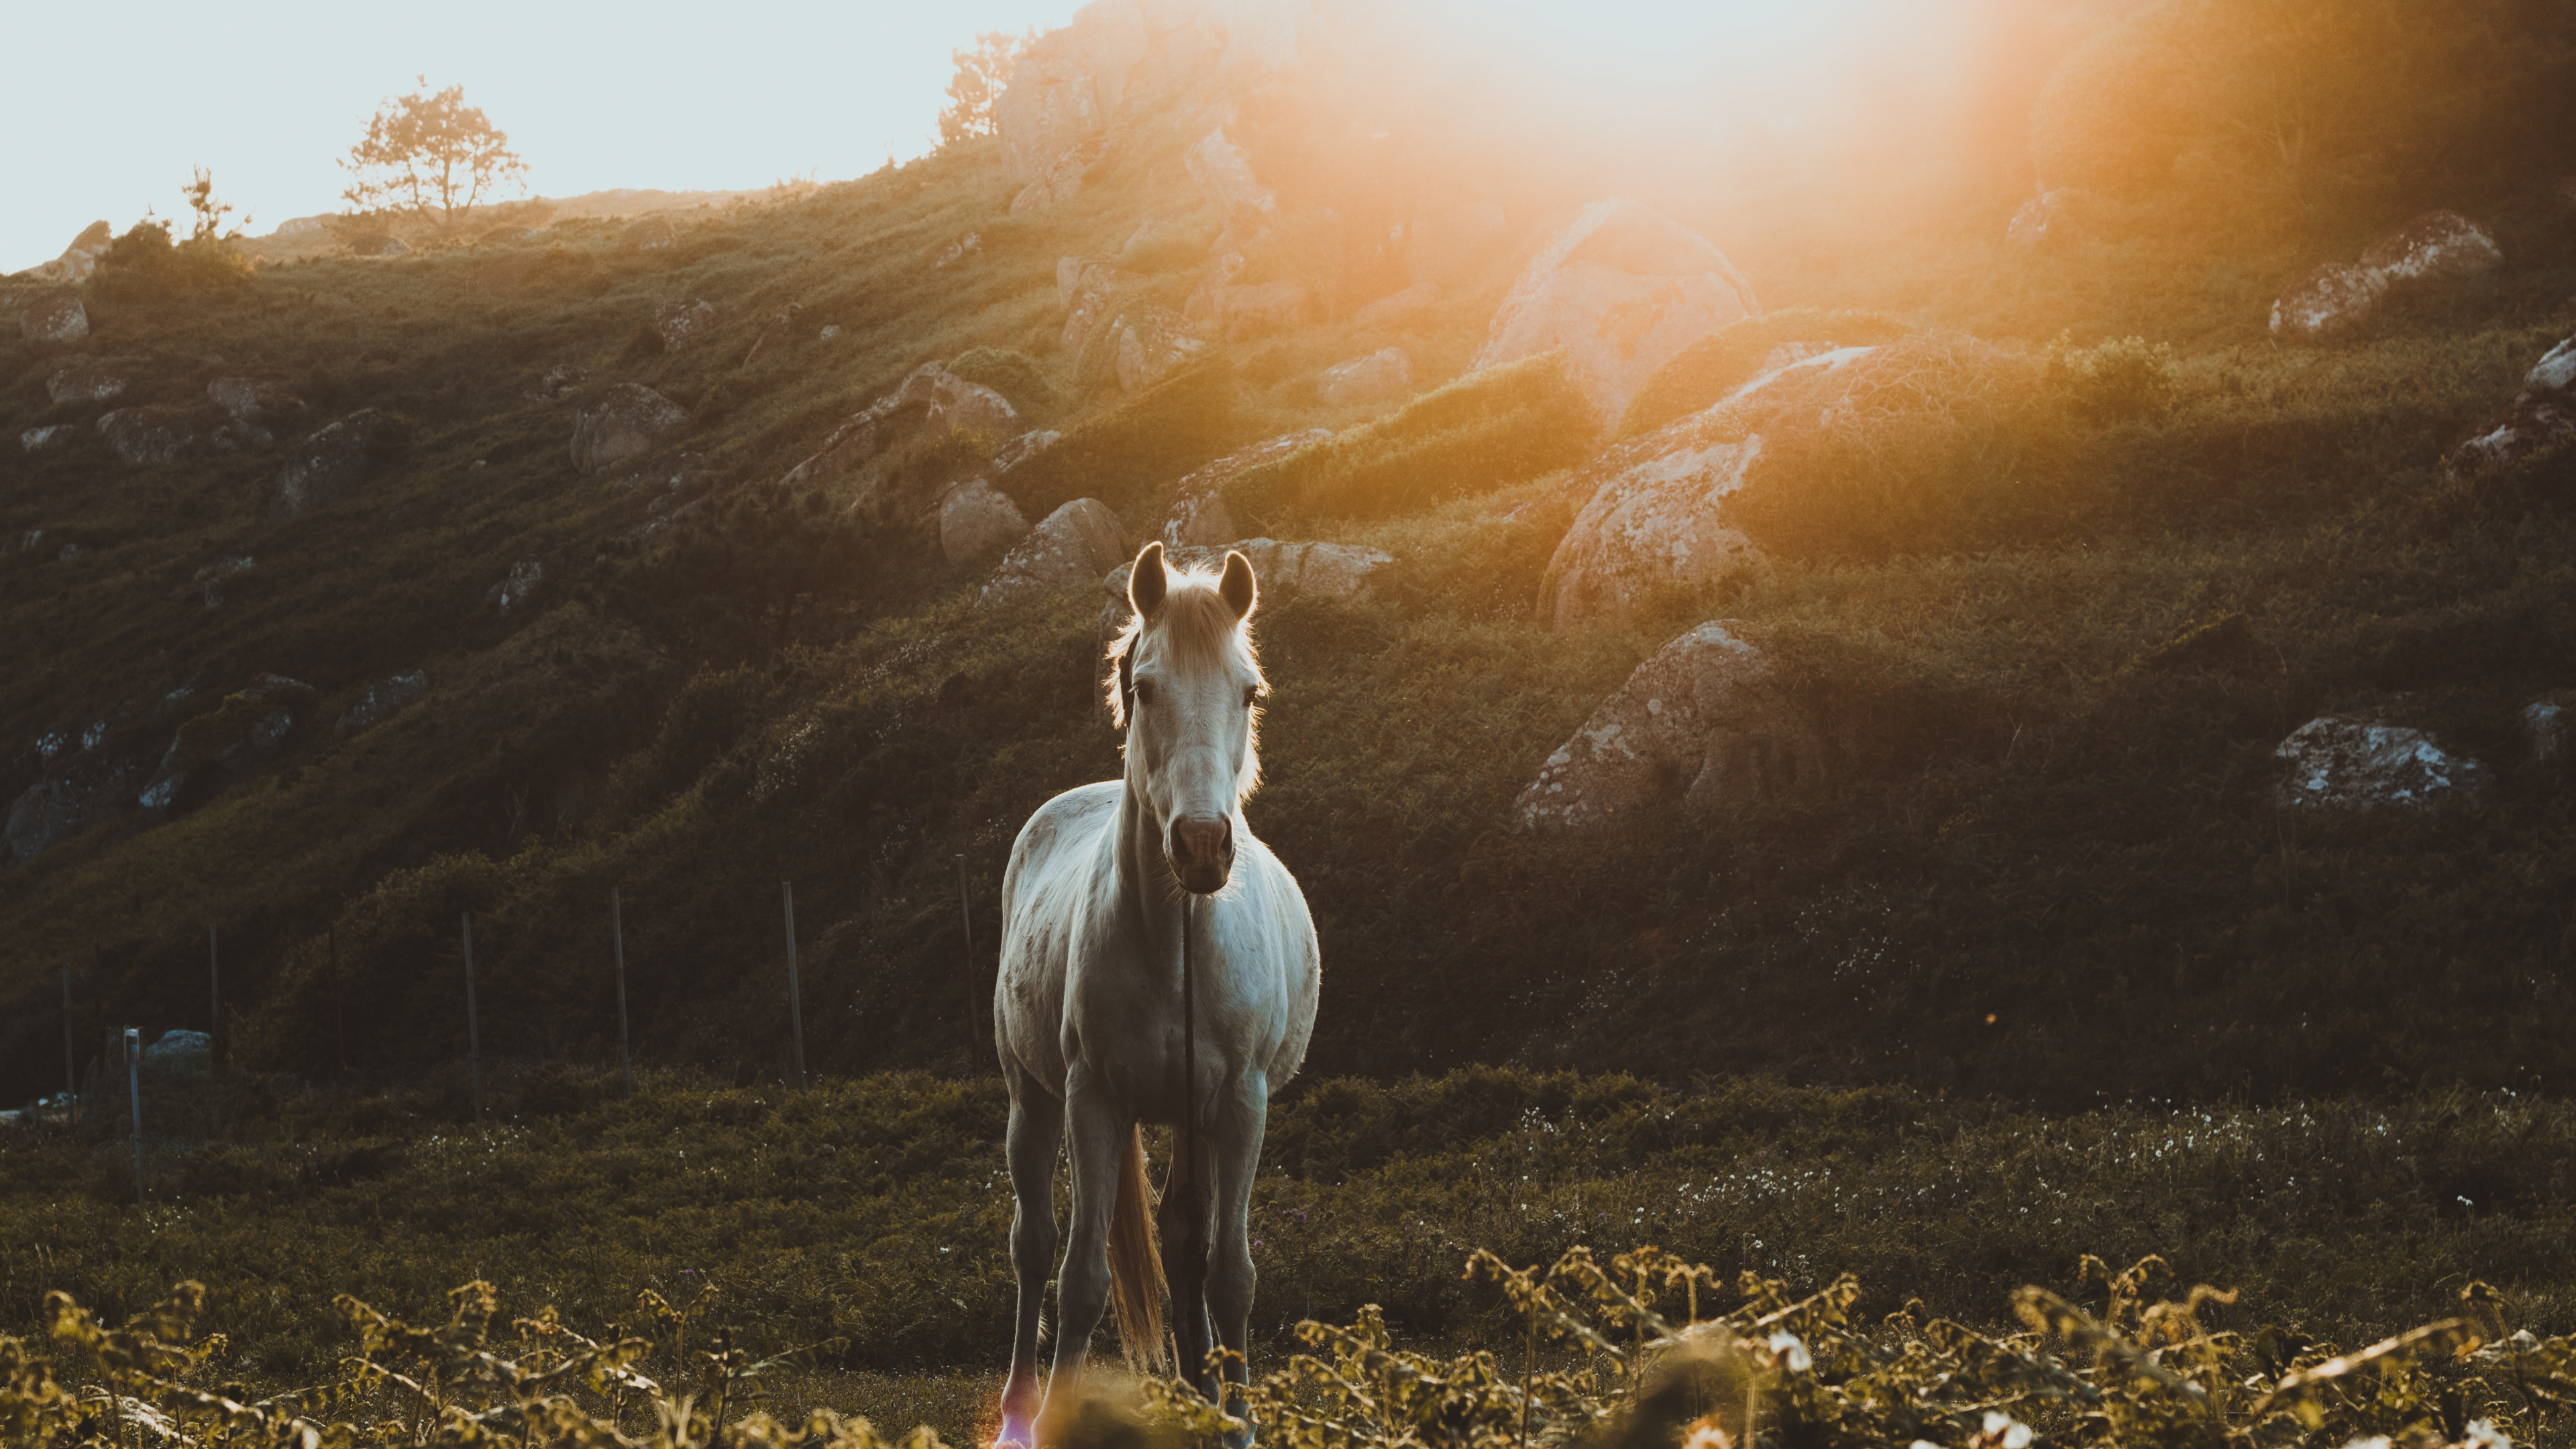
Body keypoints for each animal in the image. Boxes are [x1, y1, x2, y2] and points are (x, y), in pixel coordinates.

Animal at [989, 541, 1319, 1444]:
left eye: (1250, 691)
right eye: (1144, 688)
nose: (1202, 845)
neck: (1178, 944)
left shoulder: (1240, 1105)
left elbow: (1229, 1274)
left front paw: (1237, 1423)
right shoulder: (1094, 1100)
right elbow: (1080, 1280)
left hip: (1190, 1118)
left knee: (1182, 1244)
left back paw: (1200, 1397)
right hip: (1032, 1099)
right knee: (1034, 1245)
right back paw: (1018, 1411)